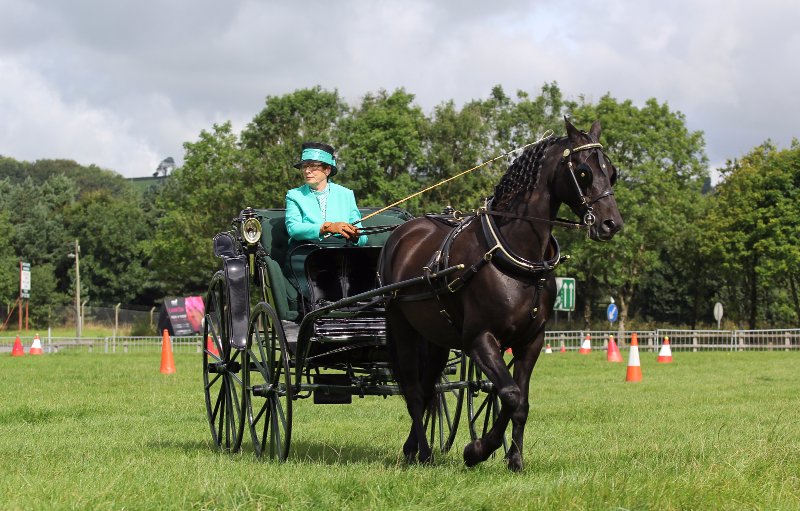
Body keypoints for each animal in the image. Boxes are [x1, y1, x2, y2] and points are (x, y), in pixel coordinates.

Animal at [378, 118, 620, 470]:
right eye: (584, 171)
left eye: (613, 172)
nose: (611, 224)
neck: (513, 253)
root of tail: (402, 233)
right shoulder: (479, 339)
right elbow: (510, 394)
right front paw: (478, 449)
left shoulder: (530, 342)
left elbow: (516, 398)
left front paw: (514, 458)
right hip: (402, 326)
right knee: (413, 390)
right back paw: (423, 451)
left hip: (435, 337)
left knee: (428, 389)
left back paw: (412, 448)